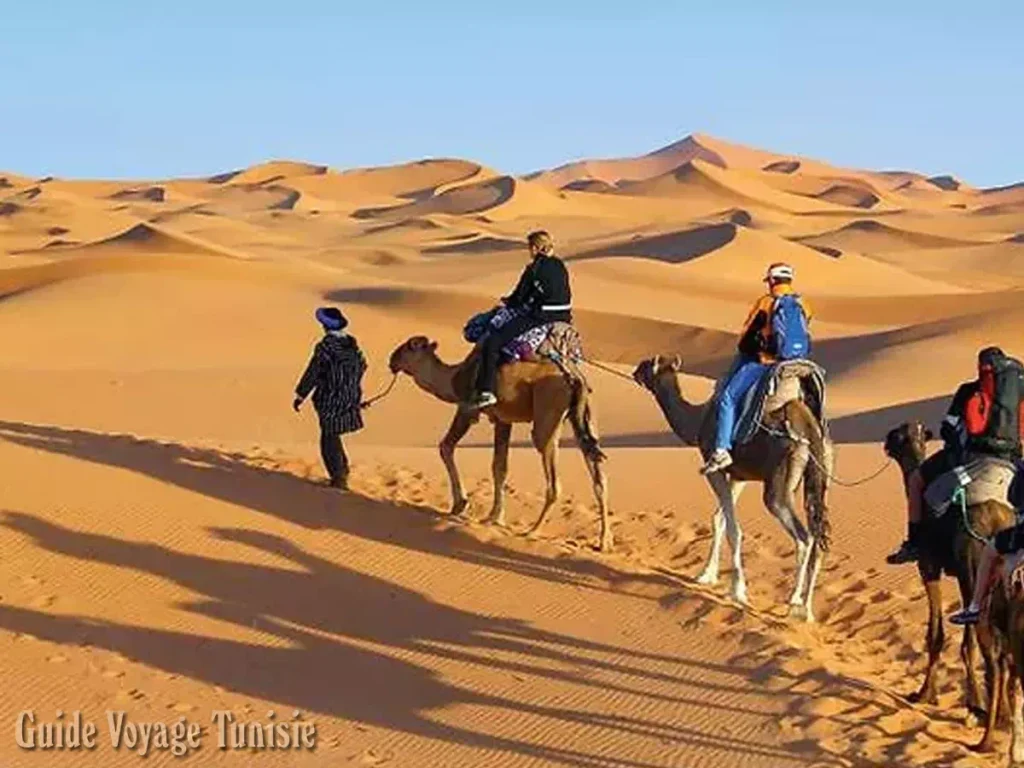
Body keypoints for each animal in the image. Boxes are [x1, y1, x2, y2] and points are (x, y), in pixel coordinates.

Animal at [385, 337, 606, 552]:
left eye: (409, 347)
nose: (391, 360)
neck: (454, 378)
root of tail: (574, 378)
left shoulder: (467, 408)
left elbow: (446, 447)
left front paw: (460, 504)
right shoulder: (502, 419)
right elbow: (499, 467)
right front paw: (494, 517)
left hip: (548, 409)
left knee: (552, 478)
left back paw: (532, 531)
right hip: (584, 416)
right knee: (598, 474)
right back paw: (604, 541)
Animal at [630, 358, 831, 622]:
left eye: (646, 365)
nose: (634, 373)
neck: (698, 421)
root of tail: (808, 427)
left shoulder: (714, 468)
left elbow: (733, 529)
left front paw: (737, 591)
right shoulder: (739, 476)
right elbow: (719, 520)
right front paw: (706, 575)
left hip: (779, 485)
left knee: (803, 536)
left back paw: (793, 601)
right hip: (818, 475)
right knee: (817, 535)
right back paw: (806, 611)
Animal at [880, 423, 1015, 737]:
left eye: (897, 436)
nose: (885, 443)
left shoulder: (929, 567)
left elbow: (936, 634)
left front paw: (924, 694)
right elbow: (964, 642)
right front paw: (972, 702)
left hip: (974, 570)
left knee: (991, 651)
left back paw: (989, 719)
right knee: (1003, 649)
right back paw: (1001, 715)